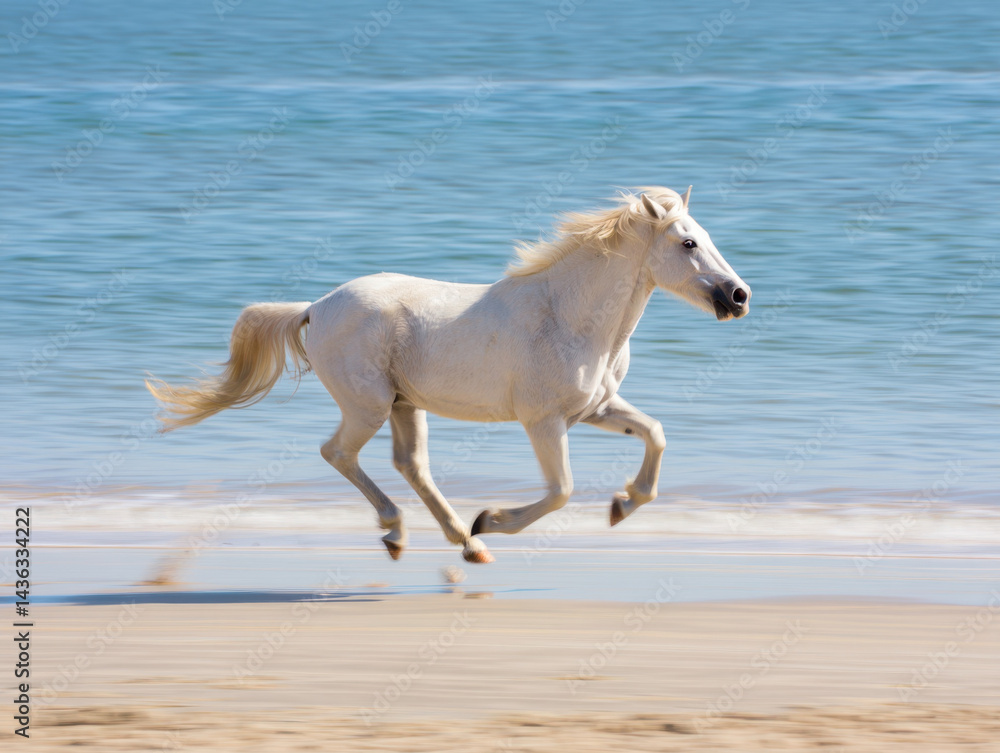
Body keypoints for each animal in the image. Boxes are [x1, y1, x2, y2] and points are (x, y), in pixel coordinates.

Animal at [146, 186, 751, 564]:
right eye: (688, 242)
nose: (739, 296)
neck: (568, 316)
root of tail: (314, 308)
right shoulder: (543, 422)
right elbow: (561, 491)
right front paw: (495, 519)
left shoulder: (595, 410)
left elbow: (655, 434)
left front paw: (623, 505)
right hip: (368, 405)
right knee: (339, 453)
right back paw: (405, 531)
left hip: (404, 405)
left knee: (410, 464)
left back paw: (464, 543)